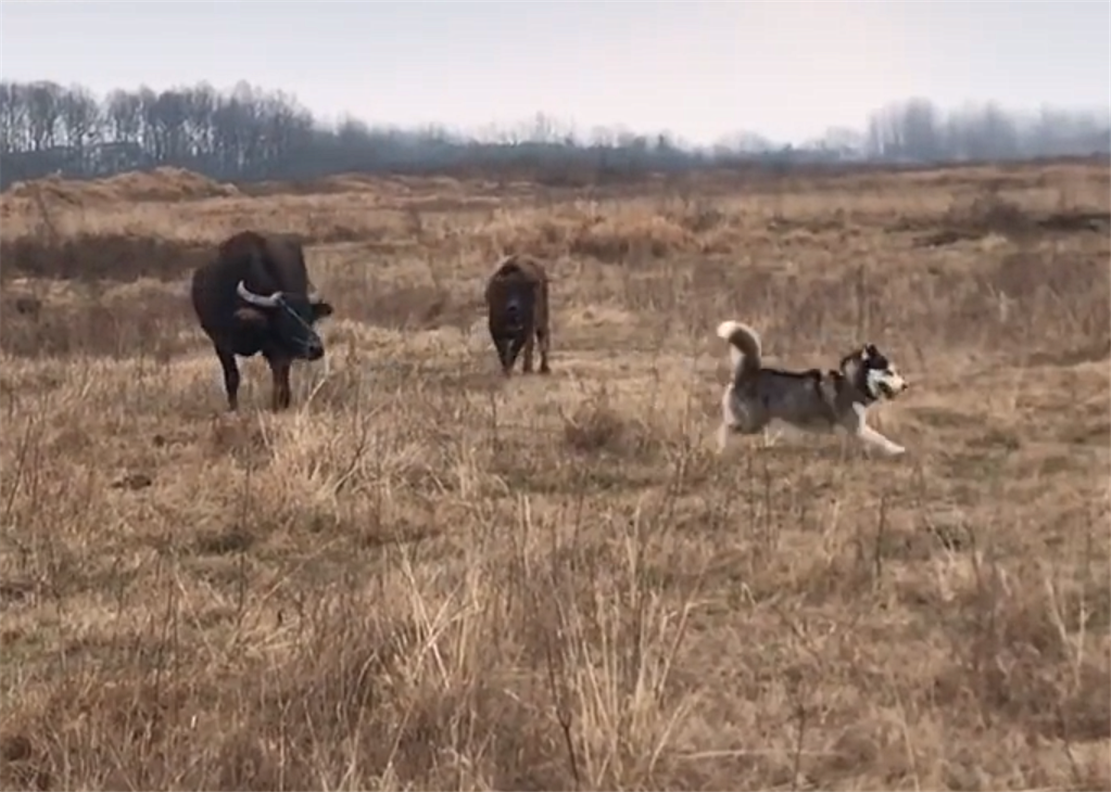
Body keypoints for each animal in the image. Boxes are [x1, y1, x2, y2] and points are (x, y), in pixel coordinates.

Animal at [191, 228, 333, 410]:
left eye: (310, 318)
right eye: (285, 320)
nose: (316, 348)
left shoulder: (277, 349)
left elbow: (280, 378)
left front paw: (280, 403)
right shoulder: (221, 344)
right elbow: (232, 378)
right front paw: (233, 408)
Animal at [715, 319, 906, 457]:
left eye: (897, 371)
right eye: (888, 372)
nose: (906, 385)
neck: (853, 383)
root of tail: (747, 373)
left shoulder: (854, 429)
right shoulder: (856, 427)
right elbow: (881, 439)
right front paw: (897, 449)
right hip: (750, 423)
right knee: (725, 427)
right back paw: (719, 448)